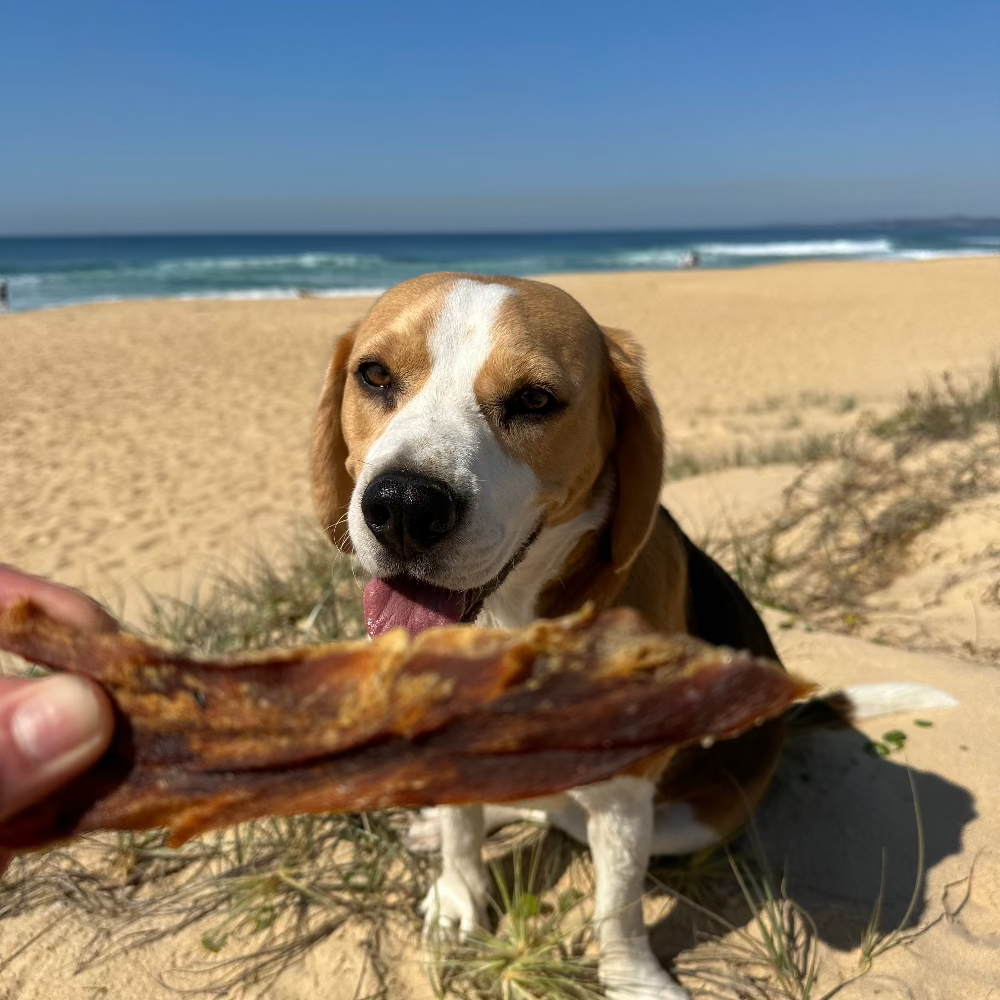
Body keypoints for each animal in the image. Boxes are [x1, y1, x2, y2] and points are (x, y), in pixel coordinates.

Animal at [308, 272, 948, 1000]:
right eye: (374, 375)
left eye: (534, 400)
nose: (404, 508)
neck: (512, 617)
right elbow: (464, 834)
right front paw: (458, 897)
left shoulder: (623, 794)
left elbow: (617, 907)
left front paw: (632, 980)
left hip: (690, 822)